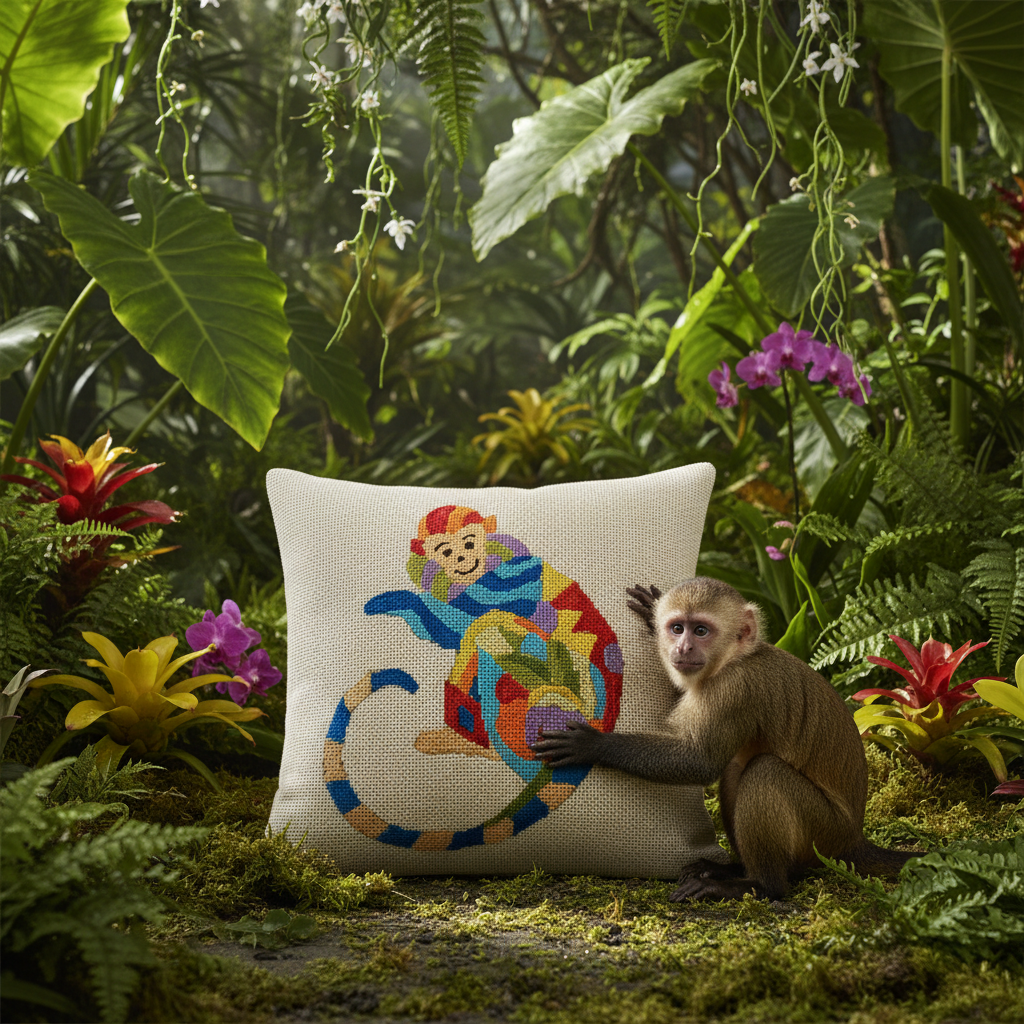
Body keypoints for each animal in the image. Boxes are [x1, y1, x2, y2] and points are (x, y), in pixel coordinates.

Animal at [323, 505, 624, 851]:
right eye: (446, 551)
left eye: (469, 543)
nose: (462, 560)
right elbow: (453, 630)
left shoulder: (512, 577)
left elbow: (470, 616)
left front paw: (400, 600)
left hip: (554, 698)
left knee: (491, 626)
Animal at [531, 577, 918, 901]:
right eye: (677, 628)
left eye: (701, 630)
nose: (683, 648)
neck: (733, 659)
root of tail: (853, 839)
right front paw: (652, 613)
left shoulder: (734, 690)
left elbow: (699, 762)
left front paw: (592, 744)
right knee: (736, 770)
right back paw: (732, 868)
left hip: (826, 832)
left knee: (763, 772)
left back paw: (761, 885)